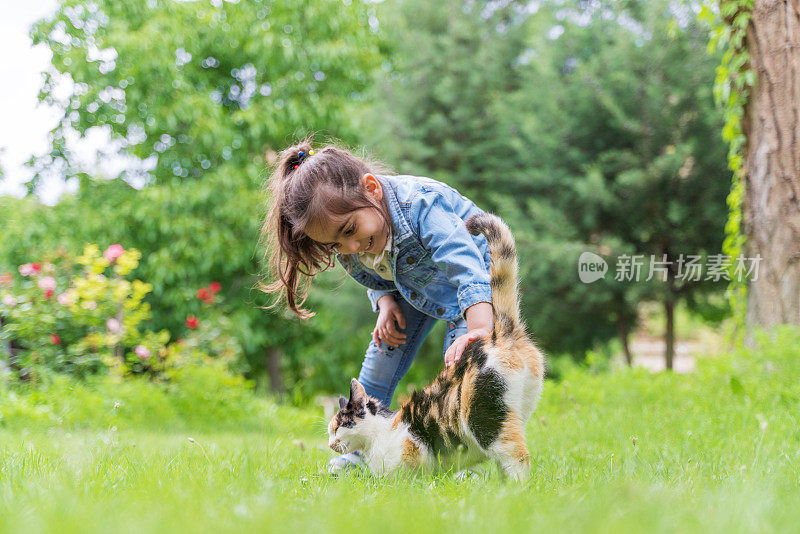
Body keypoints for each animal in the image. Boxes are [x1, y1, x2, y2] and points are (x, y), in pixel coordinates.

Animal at [324, 215, 544, 486]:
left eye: (339, 426)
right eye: (330, 431)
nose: (331, 444)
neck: (380, 433)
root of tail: (499, 336)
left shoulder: (411, 451)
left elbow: (405, 479)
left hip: (486, 420)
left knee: (516, 455)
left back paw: (514, 490)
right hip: (514, 412)